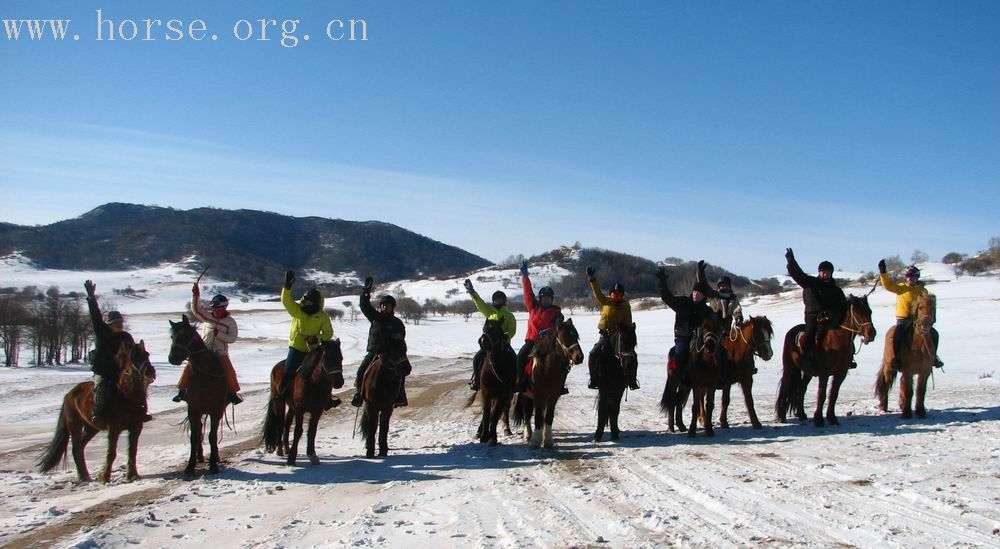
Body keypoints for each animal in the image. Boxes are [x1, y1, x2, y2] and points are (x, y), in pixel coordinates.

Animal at [38, 340, 154, 482]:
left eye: (147, 354)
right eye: (133, 358)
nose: (150, 373)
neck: (128, 396)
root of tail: (68, 395)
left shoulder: (136, 426)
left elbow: (132, 451)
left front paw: (132, 475)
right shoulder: (113, 429)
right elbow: (111, 453)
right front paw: (104, 478)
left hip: (91, 428)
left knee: (80, 446)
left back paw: (85, 475)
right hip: (75, 425)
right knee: (76, 448)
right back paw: (83, 476)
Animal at [169, 314, 229, 478]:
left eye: (185, 335)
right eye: (172, 336)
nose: (172, 358)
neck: (205, 376)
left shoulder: (216, 410)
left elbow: (212, 436)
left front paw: (213, 465)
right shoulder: (193, 409)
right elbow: (194, 437)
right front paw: (190, 466)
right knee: (199, 428)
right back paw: (199, 456)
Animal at [512, 316, 584, 450]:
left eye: (576, 336)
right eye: (564, 336)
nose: (579, 357)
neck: (548, 368)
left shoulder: (553, 397)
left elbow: (548, 417)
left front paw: (548, 441)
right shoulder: (538, 396)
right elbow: (538, 417)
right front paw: (535, 441)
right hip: (525, 395)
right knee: (527, 414)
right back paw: (528, 435)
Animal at [772, 296, 876, 428]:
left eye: (869, 312)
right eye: (857, 313)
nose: (871, 333)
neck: (837, 340)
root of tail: (792, 331)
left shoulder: (840, 374)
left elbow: (833, 394)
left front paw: (832, 418)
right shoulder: (824, 374)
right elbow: (822, 394)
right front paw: (818, 420)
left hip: (808, 372)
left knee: (802, 388)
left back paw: (801, 414)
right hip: (790, 368)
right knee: (784, 388)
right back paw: (781, 416)